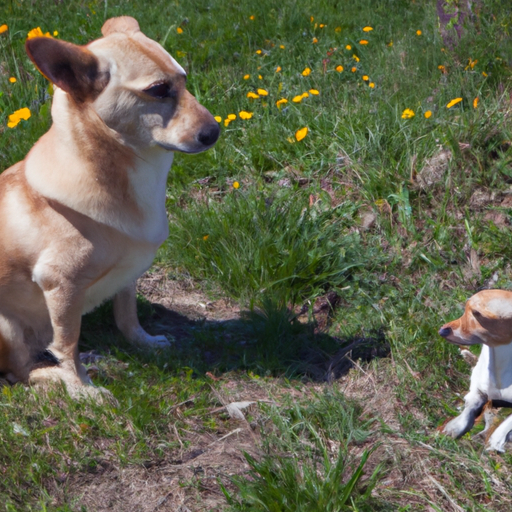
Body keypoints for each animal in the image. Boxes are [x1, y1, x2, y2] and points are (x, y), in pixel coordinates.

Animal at [0, 16, 218, 398]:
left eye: (184, 80)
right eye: (158, 90)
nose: (215, 131)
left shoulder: (128, 274)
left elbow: (127, 314)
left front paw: (143, 342)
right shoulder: (61, 285)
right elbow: (68, 344)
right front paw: (80, 389)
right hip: (6, 329)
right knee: (20, 372)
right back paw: (57, 377)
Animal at [438, 290, 512, 450]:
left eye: (477, 315)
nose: (441, 330)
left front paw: (497, 438)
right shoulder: (477, 386)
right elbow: (470, 405)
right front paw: (454, 427)